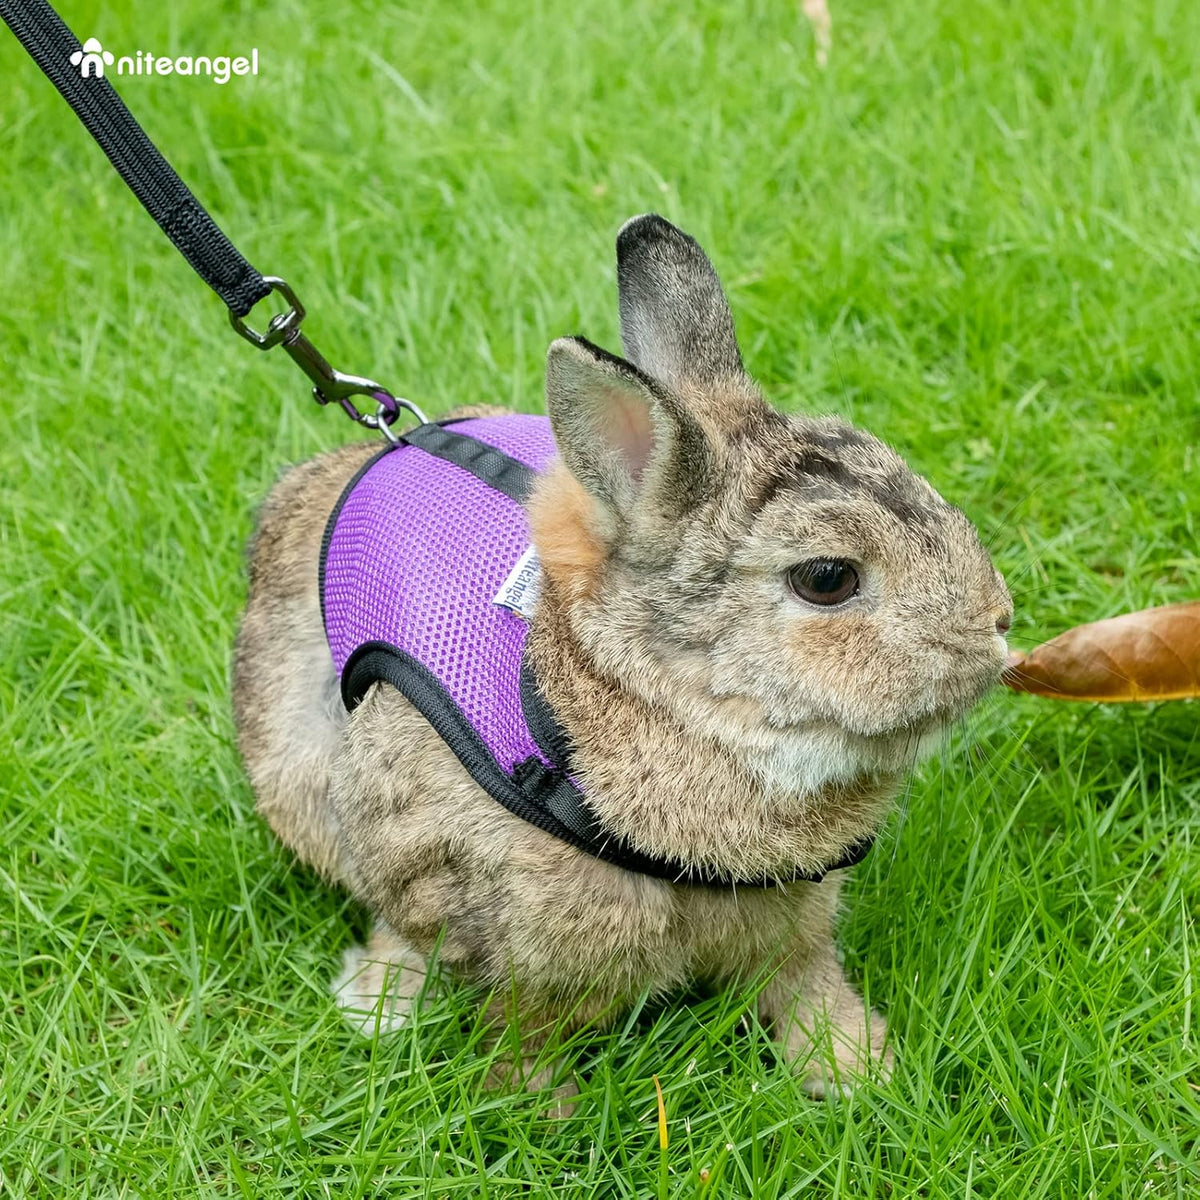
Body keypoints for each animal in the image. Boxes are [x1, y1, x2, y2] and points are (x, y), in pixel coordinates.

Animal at [232, 213, 1013, 1103]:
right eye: (827, 579)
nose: (1000, 622)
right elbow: (504, 1009)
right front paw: (537, 1105)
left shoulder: (794, 921)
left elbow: (806, 982)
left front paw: (856, 1069)